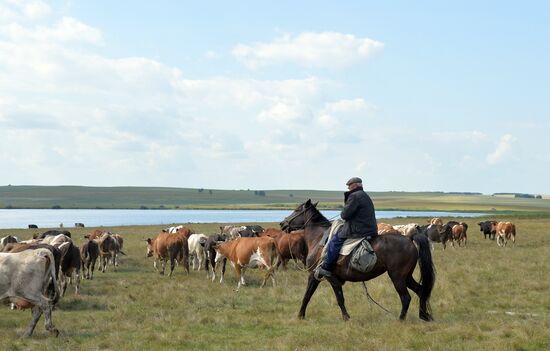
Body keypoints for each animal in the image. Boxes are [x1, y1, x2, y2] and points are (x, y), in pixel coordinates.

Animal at [282, 199, 438, 324]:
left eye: (297, 210)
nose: (283, 223)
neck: (319, 239)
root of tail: (409, 238)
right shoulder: (331, 279)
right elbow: (338, 298)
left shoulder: (317, 275)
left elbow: (309, 296)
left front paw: (300, 315)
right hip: (407, 277)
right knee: (421, 291)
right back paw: (424, 315)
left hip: (397, 277)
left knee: (406, 297)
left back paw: (401, 319)